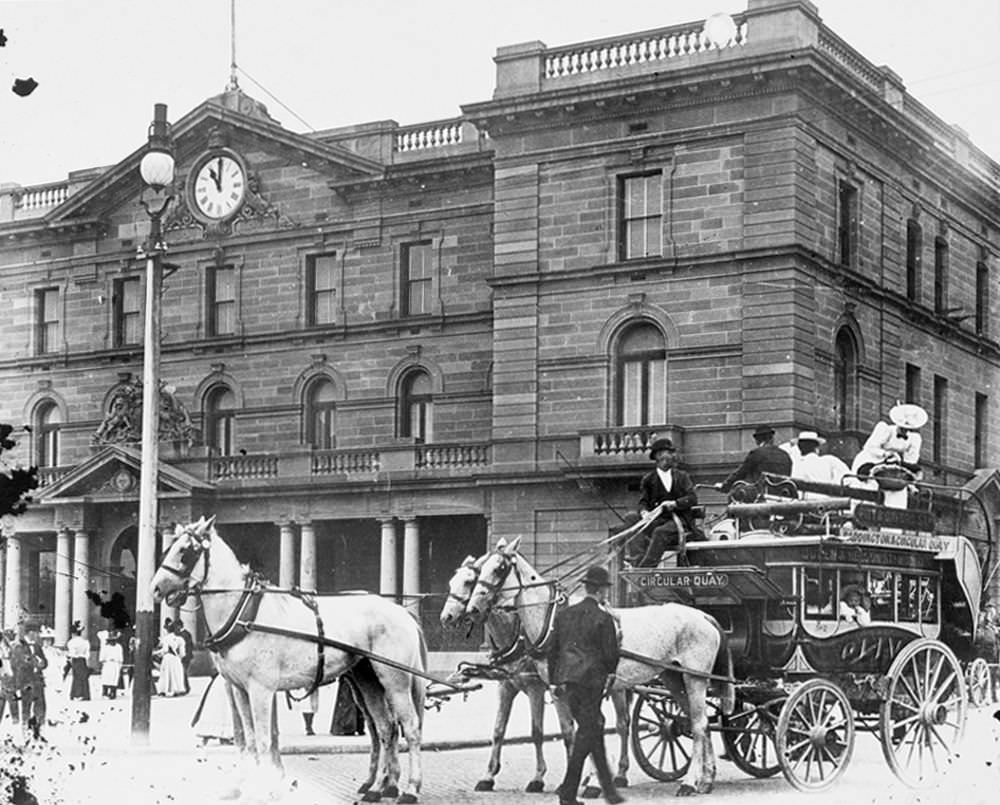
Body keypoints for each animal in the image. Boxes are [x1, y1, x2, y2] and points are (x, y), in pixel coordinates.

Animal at [150, 520, 424, 800]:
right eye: (169, 547)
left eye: (186, 551)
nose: (155, 588)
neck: (244, 613)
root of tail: (401, 611)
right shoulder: (239, 689)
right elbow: (248, 737)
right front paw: (252, 785)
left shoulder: (261, 689)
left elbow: (263, 739)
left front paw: (261, 789)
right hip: (367, 679)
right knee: (385, 728)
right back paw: (380, 786)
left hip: (395, 681)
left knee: (410, 728)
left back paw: (410, 788)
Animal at [440, 552, 576, 792]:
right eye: (452, 582)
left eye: (469, 582)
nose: (446, 617)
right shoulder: (506, 685)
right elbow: (498, 730)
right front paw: (488, 775)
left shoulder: (535, 687)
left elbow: (537, 732)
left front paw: (538, 777)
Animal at [462, 536, 736, 796]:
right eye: (479, 570)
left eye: (499, 568)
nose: (472, 609)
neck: (553, 621)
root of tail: (703, 615)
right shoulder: (557, 689)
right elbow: (569, 732)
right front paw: (572, 782)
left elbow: (589, 728)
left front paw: (592, 782)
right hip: (673, 678)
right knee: (699, 722)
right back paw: (706, 779)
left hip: (695, 679)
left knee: (699, 725)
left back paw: (689, 783)